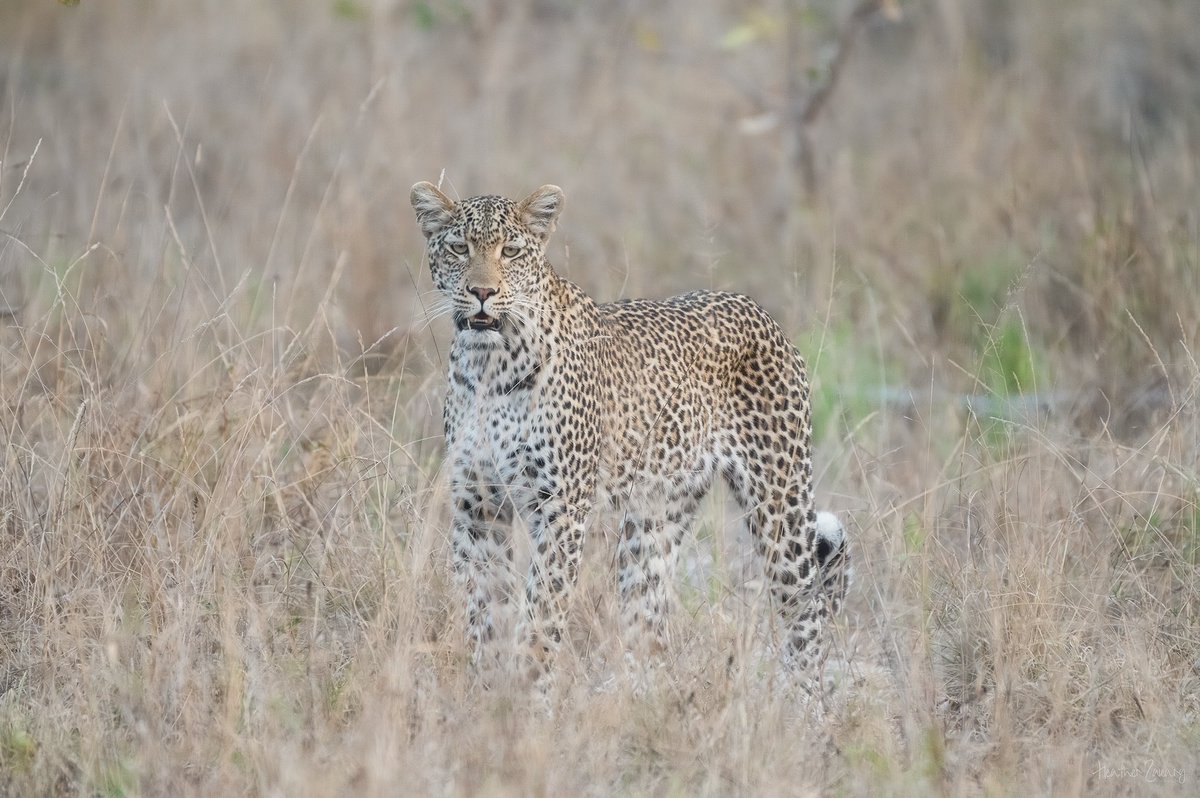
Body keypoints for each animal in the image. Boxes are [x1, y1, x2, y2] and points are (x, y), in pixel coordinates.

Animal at [412, 182, 854, 686]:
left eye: (511, 251)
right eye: (458, 248)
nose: (482, 292)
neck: (488, 362)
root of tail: (759, 311)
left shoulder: (561, 508)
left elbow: (542, 613)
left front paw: (528, 693)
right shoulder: (478, 505)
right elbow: (485, 612)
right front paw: (487, 692)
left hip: (780, 504)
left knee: (807, 613)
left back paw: (806, 700)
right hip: (656, 516)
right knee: (649, 622)